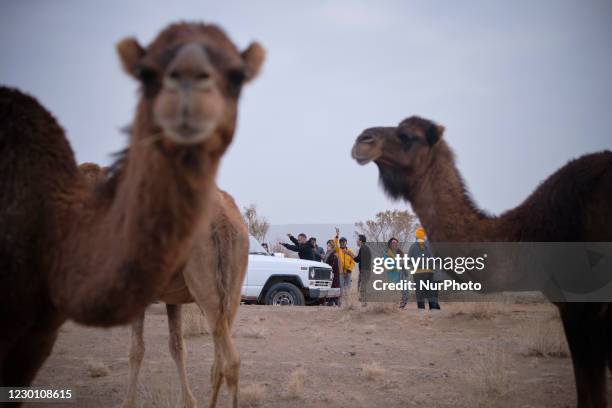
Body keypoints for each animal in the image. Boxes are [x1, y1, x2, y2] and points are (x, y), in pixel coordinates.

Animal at [1, 20, 266, 396]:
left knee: (229, 360)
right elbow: (176, 346)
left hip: (209, 286)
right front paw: (188, 401)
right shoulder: (170, 297)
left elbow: (136, 350)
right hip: (232, 288)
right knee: (219, 359)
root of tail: (227, 224)